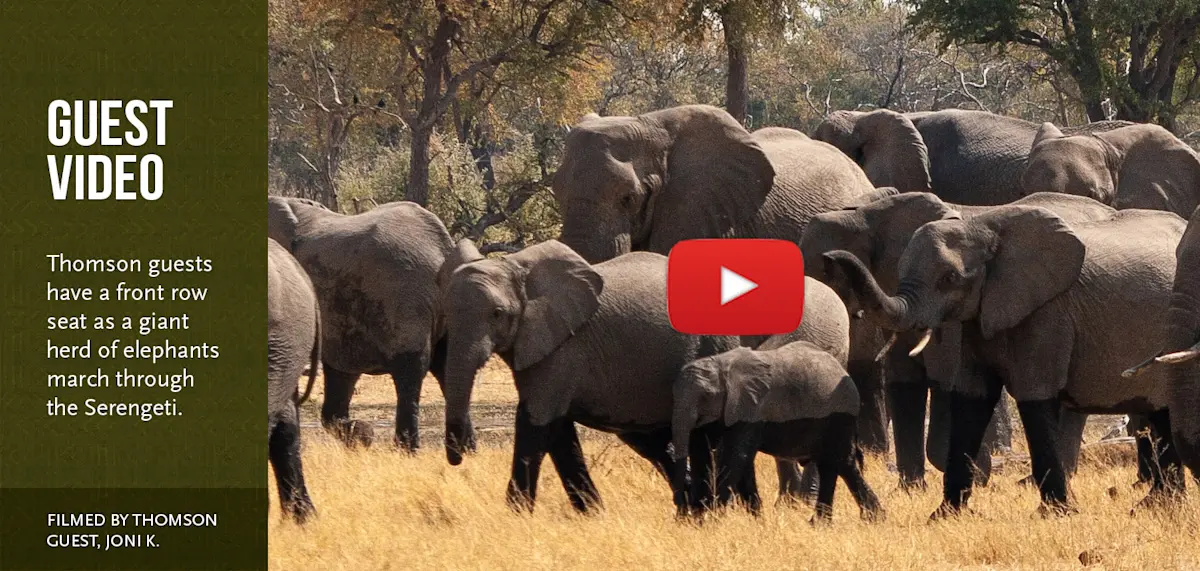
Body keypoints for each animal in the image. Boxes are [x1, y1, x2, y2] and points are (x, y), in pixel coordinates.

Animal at [267, 196, 475, 453]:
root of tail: (443, 247)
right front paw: (362, 434)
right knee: (447, 366)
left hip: (404, 296)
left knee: (410, 370)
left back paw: (405, 450)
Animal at [438, 239, 741, 512]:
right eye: (446, 315)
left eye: (497, 314)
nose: (460, 458)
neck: (517, 268)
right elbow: (558, 432)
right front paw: (593, 514)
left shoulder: (563, 348)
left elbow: (534, 424)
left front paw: (516, 516)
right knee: (653, 441)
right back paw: (689, 504)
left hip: (713, 346)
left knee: (702, 436)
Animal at [669, 341, 884, 523]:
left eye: (705, 396)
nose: (681, 516)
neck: (720, 365)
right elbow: (705, 455)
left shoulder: (750, 408)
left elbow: (737, 456)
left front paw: (712, 519)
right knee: (837, 465)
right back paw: (831, 523)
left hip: (839, 415)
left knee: (838, 462)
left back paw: (861, 520)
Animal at [802, 191, 1124, 490]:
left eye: (826, 272)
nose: (831, 257)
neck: (865, 215)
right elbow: (904, 381)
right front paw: (912, 489)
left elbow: (945, 378)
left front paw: (978, 471)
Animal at [825, 205, 1187, 516]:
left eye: (949, 279)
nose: (829, 256)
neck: (982, 226)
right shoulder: (978, 318)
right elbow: (972, 399)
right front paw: (944, 516)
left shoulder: (1047, 313)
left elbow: (1034, 397)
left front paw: (1055, 514)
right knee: (1161, 414)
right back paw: (1156, 506)